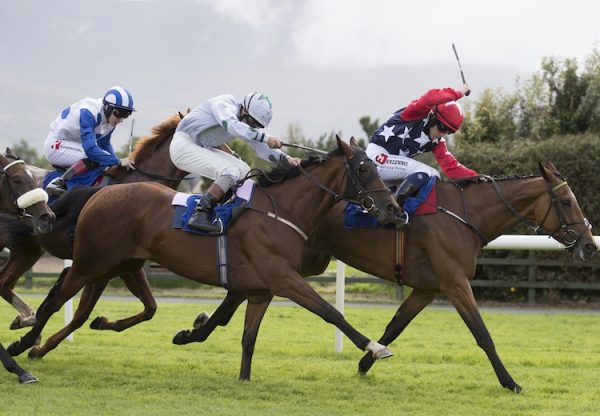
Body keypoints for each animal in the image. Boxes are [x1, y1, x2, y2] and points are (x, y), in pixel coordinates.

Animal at [0, 114, 188, 328]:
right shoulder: (103, 261)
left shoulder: (127, 259)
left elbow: (150, 306)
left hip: (27, 249)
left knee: (4, 283)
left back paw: (26, 317)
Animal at [7, 137, 400, 380]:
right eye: (364, 169)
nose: (394, 208)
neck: (282, 211)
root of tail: (99, 194)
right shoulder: (284, 278)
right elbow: (331, 312)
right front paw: (376, 348)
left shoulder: (261, 289)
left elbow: (246, 337)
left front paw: (240, 375)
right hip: (91, 262)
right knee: (55, 301)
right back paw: (24, 342)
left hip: (122, 265)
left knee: (95, 310)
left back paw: (51, 339)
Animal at [169, 160, 596, 394]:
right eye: (565, 200)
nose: (591, 245)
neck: (465, 216)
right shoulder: (455, 283)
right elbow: (483, 334)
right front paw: (511, 382)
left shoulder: (427, 288)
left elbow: (395, 326)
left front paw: (365, 361)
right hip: (293, 262)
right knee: (238, 293)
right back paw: (196, 331)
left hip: (298, 262)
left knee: (237, 295)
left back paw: (194, 331)